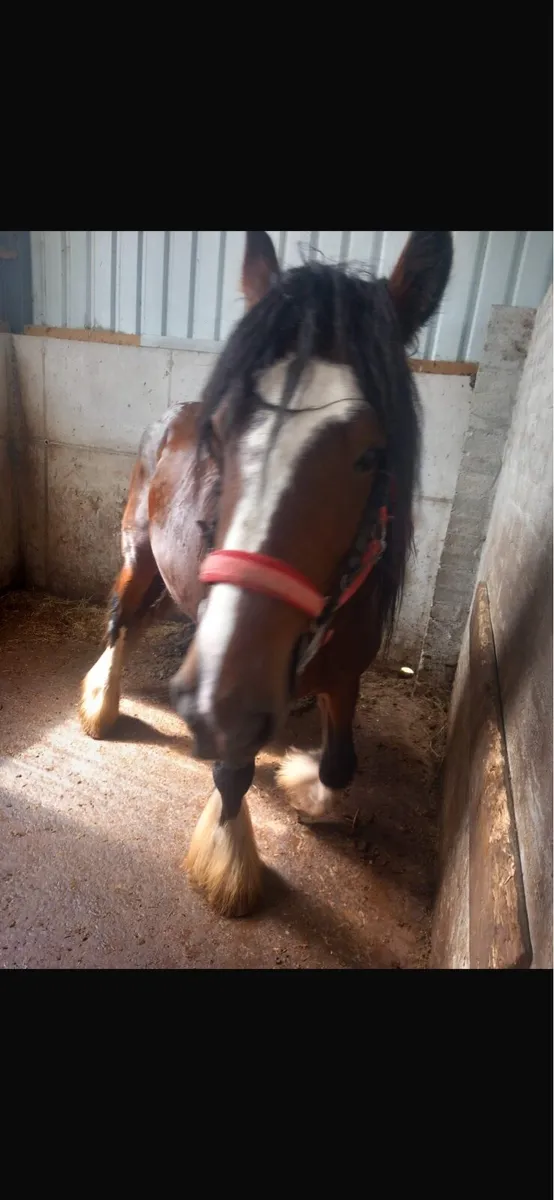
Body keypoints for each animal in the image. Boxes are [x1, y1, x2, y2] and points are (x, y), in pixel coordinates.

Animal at [79, 230, 453, 918]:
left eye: (373, 454)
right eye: (222, 434)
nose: (224, 694)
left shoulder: (345, 673)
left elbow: (341, 762)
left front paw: (305, 784)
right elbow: (232, 772)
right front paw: (228, 864)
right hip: (139, 556)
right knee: (121, 622)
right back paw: (102, 705)